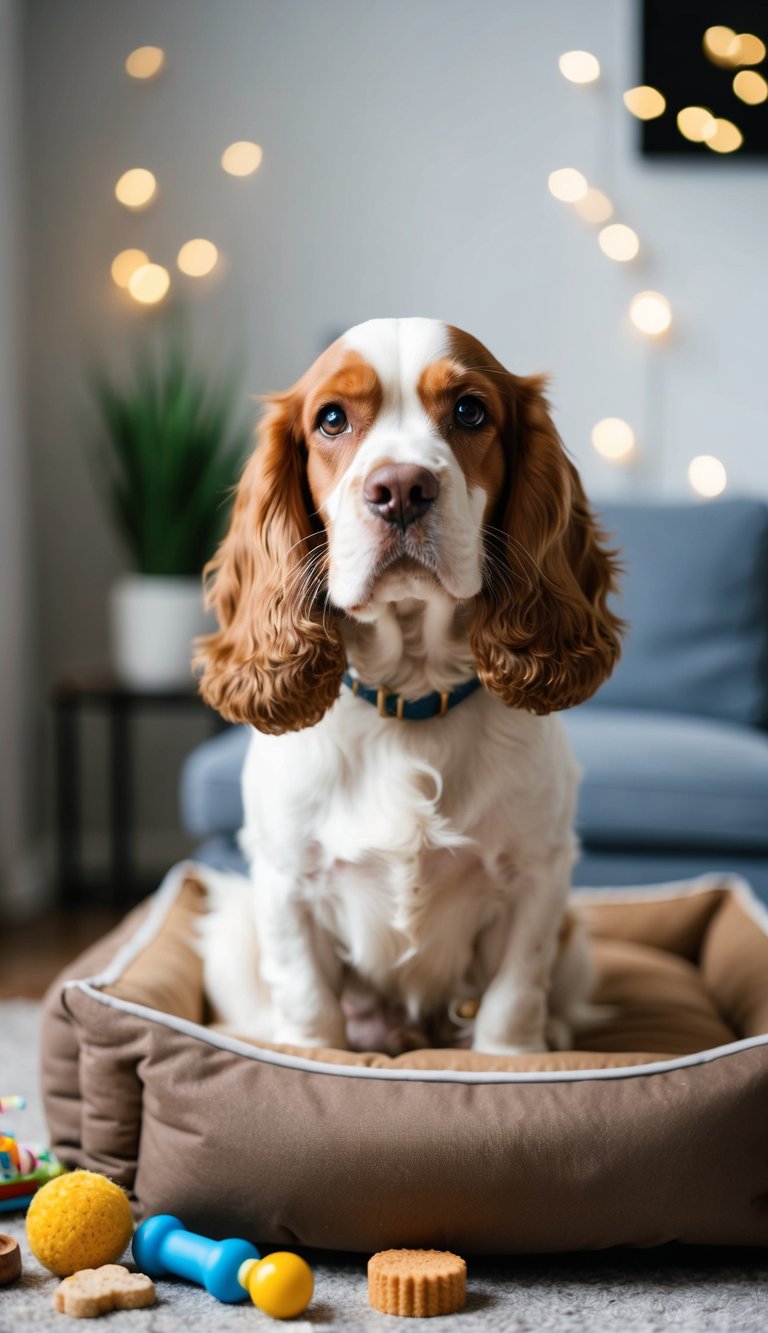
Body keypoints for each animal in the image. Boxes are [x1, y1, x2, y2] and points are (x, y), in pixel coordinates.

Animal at [195, 317, 622, 1056]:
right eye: (331, 418)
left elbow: (513, 998)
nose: (400, 488)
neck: (410, 695)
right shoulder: (285, 880)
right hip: (230, 928)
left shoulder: (539, 876)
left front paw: (513, 1059)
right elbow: (307, 1001)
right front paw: (307, 1055)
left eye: (470, 411)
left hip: (579, 940)